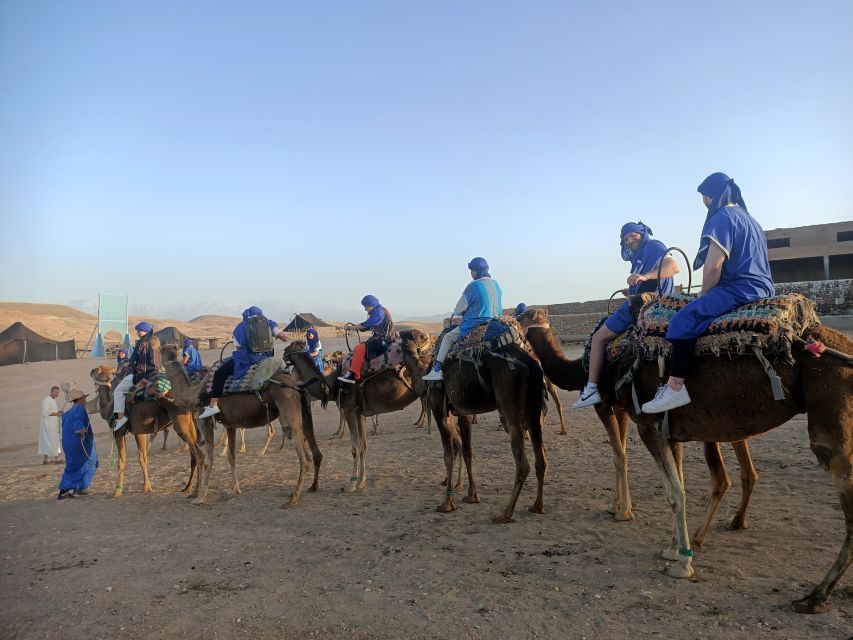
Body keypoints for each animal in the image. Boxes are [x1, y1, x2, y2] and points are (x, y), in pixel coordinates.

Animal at [88, 364, 206, 500]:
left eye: (96, 370)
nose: (91, 371)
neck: (109, 404)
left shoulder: (119, 431)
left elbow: (121, 461)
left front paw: (117, 490)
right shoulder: (139, 431)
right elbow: (142, 457)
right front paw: (147, 486)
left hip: (180, 424)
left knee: (199, 455)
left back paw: (196, 492)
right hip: (190, 424)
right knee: (193, 456)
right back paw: (187, 488)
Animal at [161, 358, 322, 508]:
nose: (163, 393)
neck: (194, 393)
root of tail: (297, 384)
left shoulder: (204, 420)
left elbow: (208, 460)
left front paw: (200, 498)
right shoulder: (229, 424)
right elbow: (231, 456)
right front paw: (235, 490)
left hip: (289, 411)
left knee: (304, 458)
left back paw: (293, 500)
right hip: (303, 413)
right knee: (313, 451)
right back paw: (310, 488)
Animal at [284, 332, 432, 492]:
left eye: (293, 345)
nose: (284, 353)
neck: (331, 384)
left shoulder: (349, 410)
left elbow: (355, 448)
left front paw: (351, 484)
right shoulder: (359, 413)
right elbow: (363, 446)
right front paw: (361, 481)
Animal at [430, 332, 548, 524]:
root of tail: (533, 364)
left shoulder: (438, 406)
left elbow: (448, 455)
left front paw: (446, 503)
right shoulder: (463, 412)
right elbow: (467, 451)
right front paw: (471, 495)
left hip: (511, 408)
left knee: (523, 463)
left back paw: (505, 514)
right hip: (533, 412)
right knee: (541, 460)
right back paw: (537, 506)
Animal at [516, 304, 756, 544]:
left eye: (526, 315)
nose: (513, 318)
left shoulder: (602, 404)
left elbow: (619, 456)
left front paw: (623, 511)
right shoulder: (621, 407)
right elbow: (621, 452)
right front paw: (617, 506)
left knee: (721, 478)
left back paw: (699, 536)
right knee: (747, 470)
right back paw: (738, 521)